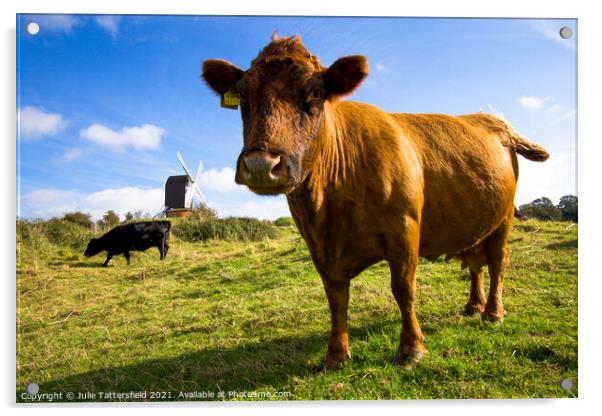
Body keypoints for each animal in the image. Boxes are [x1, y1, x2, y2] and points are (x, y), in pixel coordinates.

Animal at [200, 35, 544, 370]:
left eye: (315, 93)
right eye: (243, 97)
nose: (261, 165)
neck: (328, 208)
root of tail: (494, 120)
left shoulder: (404, 228)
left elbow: (403, 288)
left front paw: (411, 349)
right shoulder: (318, 245)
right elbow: (336, 298)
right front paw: (335, 354)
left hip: (503, 219)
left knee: (497, 262)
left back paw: (493, 313)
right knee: (475, 263)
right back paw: (473, 305)